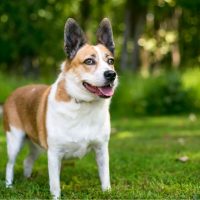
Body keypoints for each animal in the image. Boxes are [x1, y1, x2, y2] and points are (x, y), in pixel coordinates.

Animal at [3, 17, 118, 198]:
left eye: (110, 61)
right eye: (89, 61)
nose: (111, 75)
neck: (83, 103)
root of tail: (15, 91)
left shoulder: (101, 149)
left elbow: (105, 176)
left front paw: (107, 193)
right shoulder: (54, 154)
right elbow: (55, 184)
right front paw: (55, 197)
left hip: (35, 144)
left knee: (27, 160)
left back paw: (28, 180)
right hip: (15, 140)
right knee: (10, 164)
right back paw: (9, 186)